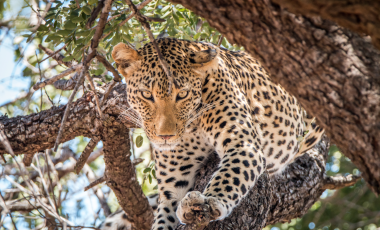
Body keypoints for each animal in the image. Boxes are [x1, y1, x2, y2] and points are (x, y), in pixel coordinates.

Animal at [102, 38, 326, 230]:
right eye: (146, 95)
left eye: (182, 94)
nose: (165, 136)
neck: (192, 126)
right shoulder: (173, 187)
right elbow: (164, 217)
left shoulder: (244, 144)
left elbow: (231, 175)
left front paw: (211, 201)